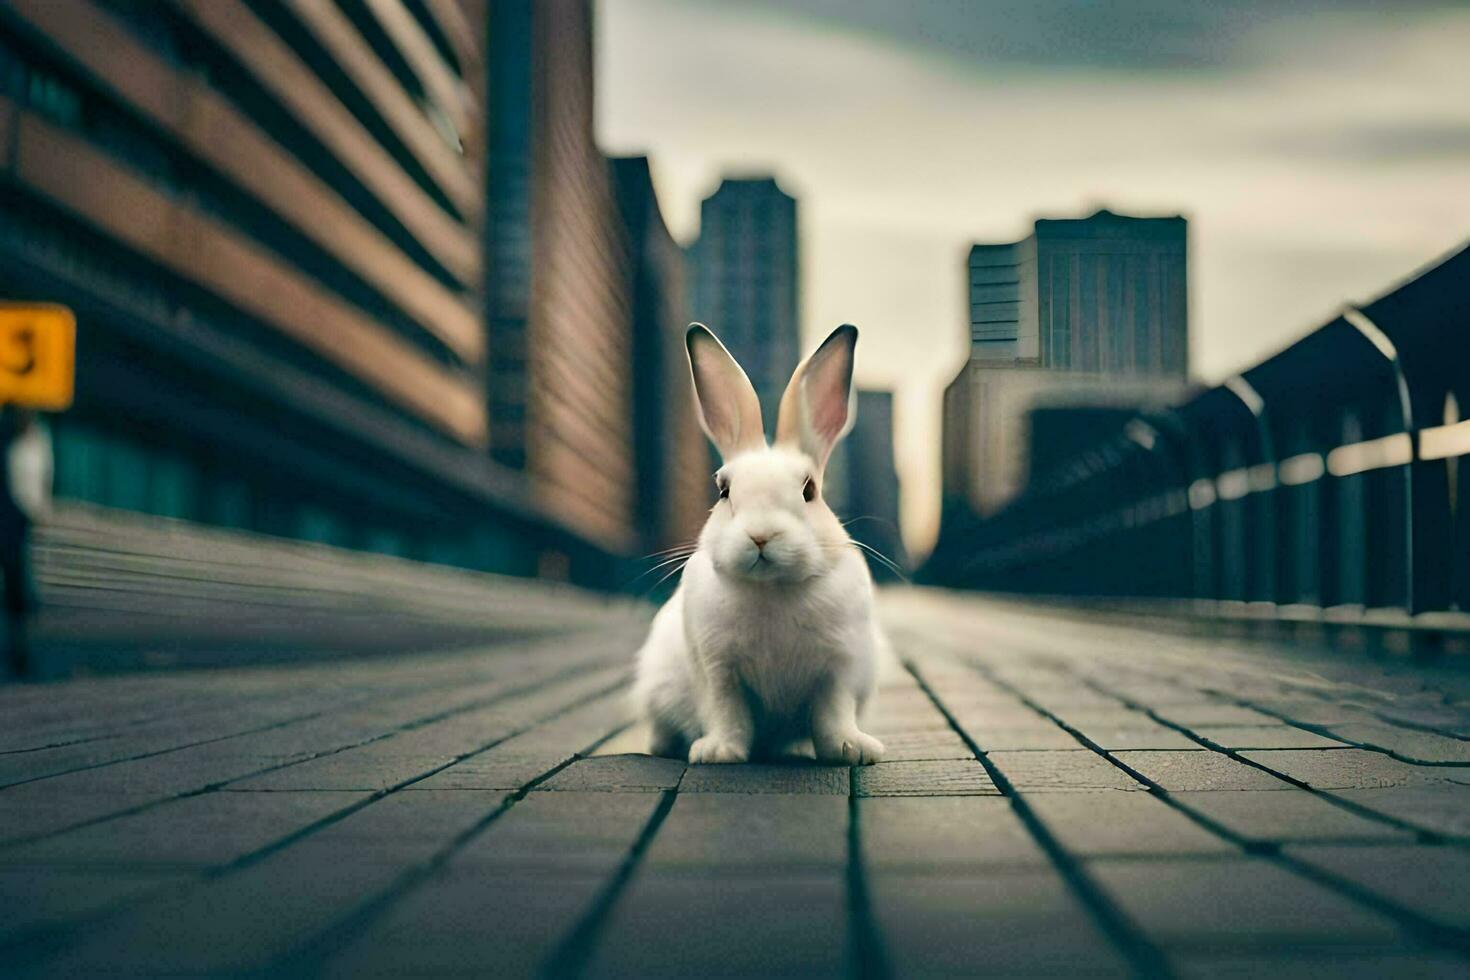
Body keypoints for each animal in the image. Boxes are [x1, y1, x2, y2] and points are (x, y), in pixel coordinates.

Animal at [629, 321, 882, 764]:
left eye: (809, 490)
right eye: (723, 491)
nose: (761, 536)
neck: (772, 590)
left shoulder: (839, 669)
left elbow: (833, 714)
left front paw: (851, 749)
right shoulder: (718, 670)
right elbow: (728, 712)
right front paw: (717, 752)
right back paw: (664, 747)